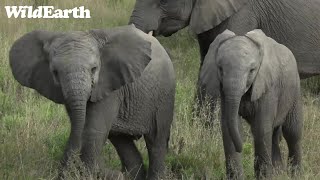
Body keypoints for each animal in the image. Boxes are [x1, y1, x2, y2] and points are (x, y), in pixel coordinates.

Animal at [9, 24, 175, 180]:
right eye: (55, 72)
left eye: (94, 69)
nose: (118, 174)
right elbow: (82, 126)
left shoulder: (110, 85)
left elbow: (93, 131)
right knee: (121, 141)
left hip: (163, 96)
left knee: (157, 140)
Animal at [200, 29, 302, 179]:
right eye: (220, 69)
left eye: (252, 70)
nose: (241, 148)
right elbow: (229, 127)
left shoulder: (268, 88)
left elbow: (261, 129)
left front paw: (264, 177)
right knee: (274, 136)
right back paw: (278, 173)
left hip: (294, 91)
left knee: (292, 133)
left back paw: (296, 175)